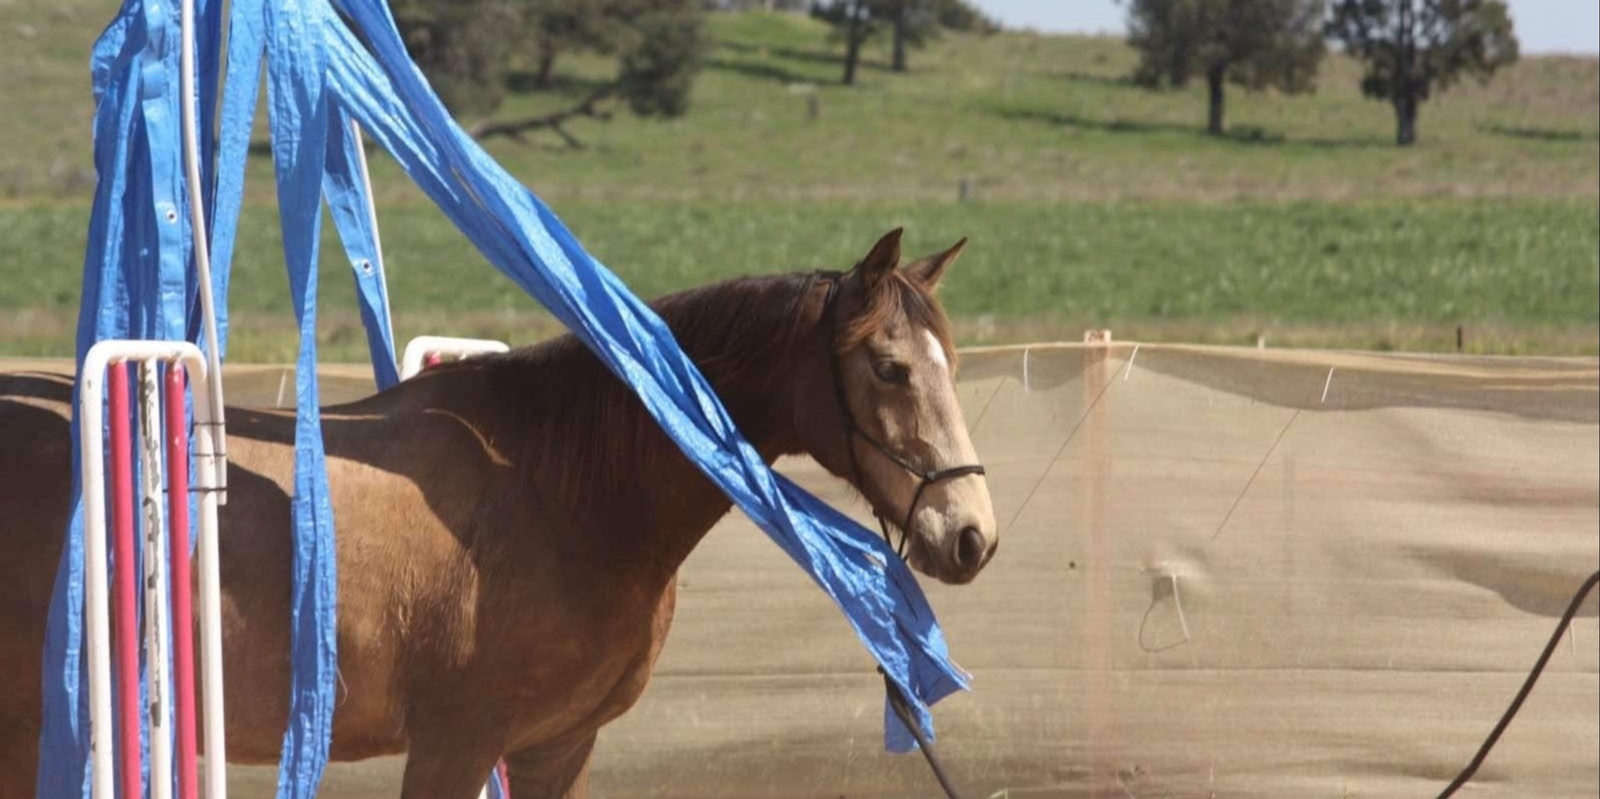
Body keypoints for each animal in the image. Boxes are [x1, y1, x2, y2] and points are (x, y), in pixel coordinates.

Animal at [0, 228, 992, 797]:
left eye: (952, 361)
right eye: (890, 368)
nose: (970, 535)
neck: (563, 491)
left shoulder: (559, 747)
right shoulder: (457, 744)